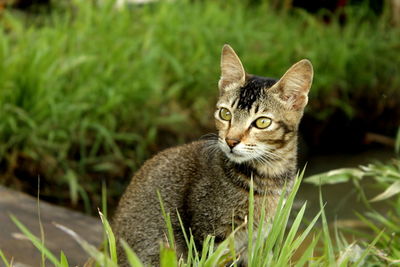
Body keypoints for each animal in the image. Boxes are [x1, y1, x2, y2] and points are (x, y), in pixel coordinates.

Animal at [111, 44, 312, 266]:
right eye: (225, 114)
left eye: (262, 122)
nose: (231, 141)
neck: (267, 176)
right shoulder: (209, 234)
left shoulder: (256, 240)